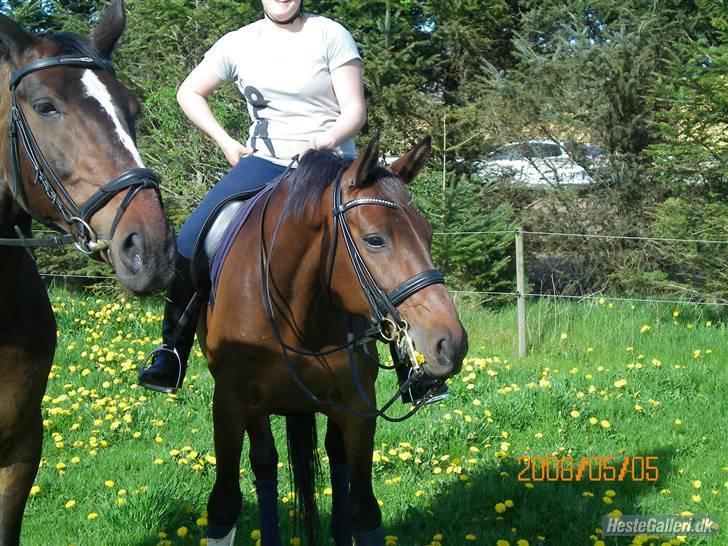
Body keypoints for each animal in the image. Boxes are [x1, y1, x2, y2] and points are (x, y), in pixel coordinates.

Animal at [198, 136, 466, 544]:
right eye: (374, 240)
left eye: (428, 234)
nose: (450, 342)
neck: (292, 310)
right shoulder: (228, 405)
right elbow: (224, 505)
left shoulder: (357, 407)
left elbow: (364, 510)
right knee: (265, 463)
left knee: (332, 457)